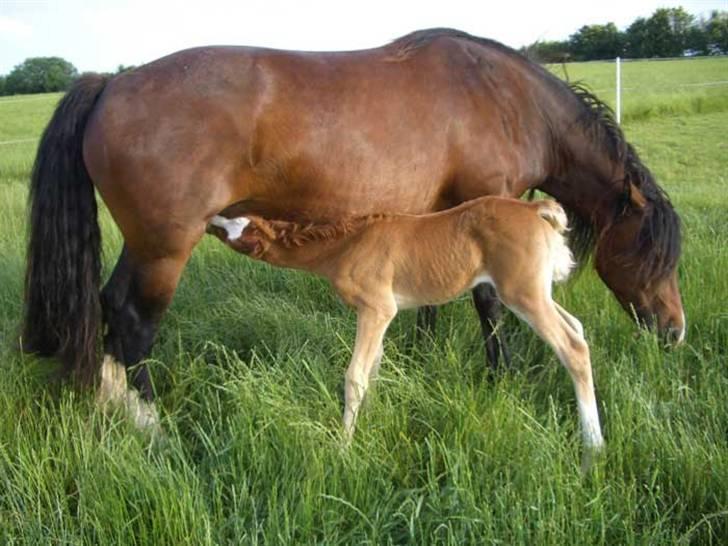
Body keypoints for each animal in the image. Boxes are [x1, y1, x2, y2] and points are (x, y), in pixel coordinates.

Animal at [206, 196, 604, 454]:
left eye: (234, 229)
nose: (211, 217)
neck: (345, 244)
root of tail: (536, 209)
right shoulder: (379, 313)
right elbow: (374, 368)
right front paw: (371, 421)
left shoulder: (377, 308)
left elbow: (355, 375)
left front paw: (343, 447)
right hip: (536, 291)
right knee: (578, 326)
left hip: (522, 293)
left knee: (572, 346)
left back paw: (594, 445)